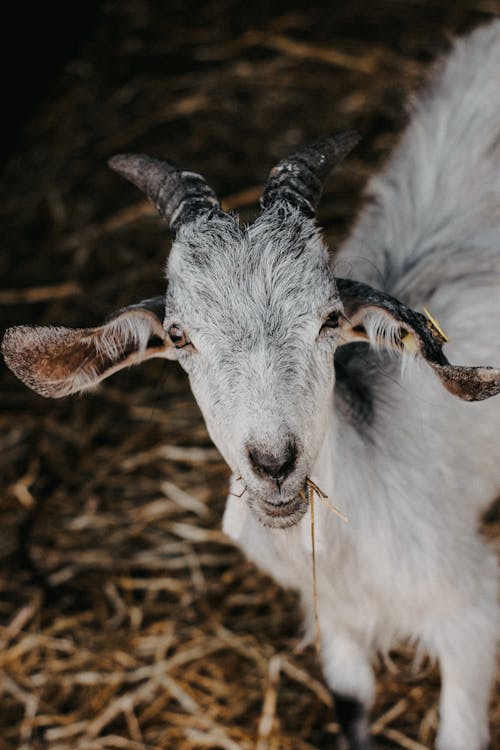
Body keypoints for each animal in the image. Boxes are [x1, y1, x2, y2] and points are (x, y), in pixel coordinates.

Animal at [1, 20, 498, 748]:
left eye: (329, 319)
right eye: (180, 336)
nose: (274, 464)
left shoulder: (470, 621)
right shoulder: (336, 627)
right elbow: (352, 708)